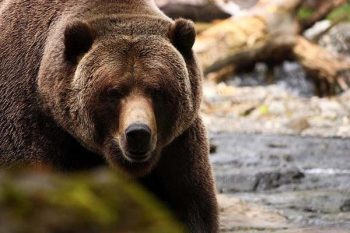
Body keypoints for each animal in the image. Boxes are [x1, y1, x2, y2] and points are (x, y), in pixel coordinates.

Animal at [0, 0, 217, 232]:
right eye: (114, 91)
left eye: (157, 90)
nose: (138, 133)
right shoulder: (34, 130)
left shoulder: (178, 151)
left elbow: (191, 207)